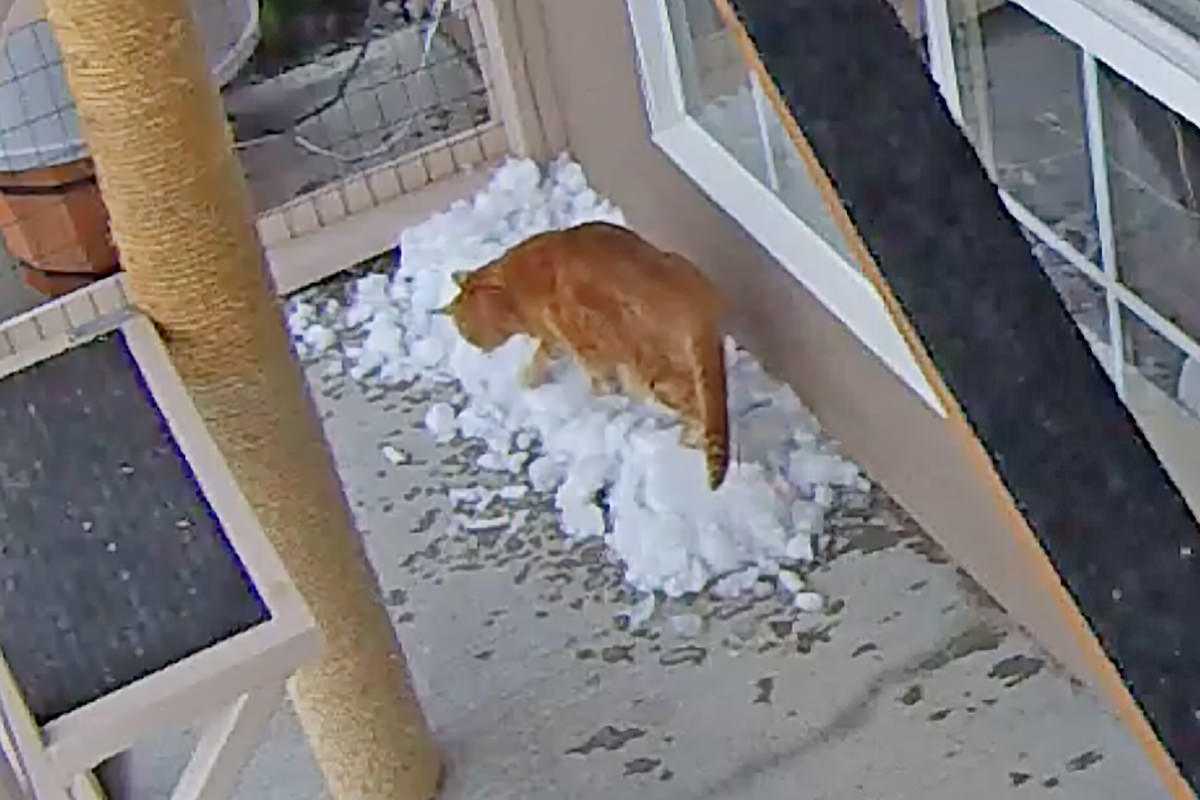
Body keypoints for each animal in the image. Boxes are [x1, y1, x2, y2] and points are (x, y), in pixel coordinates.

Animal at [439, 221, 724, 491]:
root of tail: (694, 304)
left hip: (654, 373)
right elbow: (543, 357)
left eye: (462, 326)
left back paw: (684, 443)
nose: (471, 342)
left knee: (695, 409)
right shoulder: (559, 340)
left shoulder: (574, 335)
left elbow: (594, 376)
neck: (511, 289)